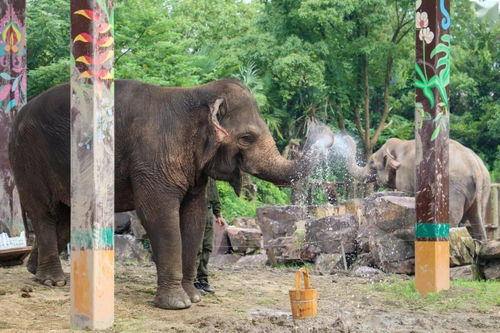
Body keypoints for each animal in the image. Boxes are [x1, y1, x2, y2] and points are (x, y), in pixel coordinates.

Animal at [7, 78, 334, 308]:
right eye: (246, 137)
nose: (327, 133)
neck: (196, 93)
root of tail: (18, 115)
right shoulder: (153, 160)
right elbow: (159, 215)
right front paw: (176, 304)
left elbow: (194, 217)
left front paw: (194, 298)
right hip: (29, 159)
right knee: (45, 212)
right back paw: (53, 281)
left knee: (64, 216)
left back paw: (37, 271)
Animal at [342, 134, 490, 240]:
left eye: (372, 163)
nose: (345, 136)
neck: (400, 143)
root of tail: (475, 166)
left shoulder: (405, 173)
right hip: (483, 188)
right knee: (477, 218)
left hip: (453, 185)